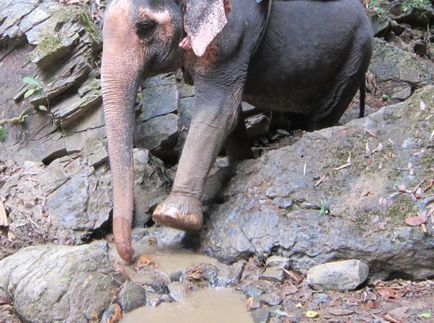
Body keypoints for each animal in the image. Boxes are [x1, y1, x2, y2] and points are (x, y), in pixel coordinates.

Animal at [101, 0, 372, 262]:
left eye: (146, 27)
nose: (131, 256)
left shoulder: (232, 32)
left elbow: (218, 110)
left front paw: (172, 217)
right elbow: (231, 112)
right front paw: (241, 162)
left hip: (354, 57)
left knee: (323, 115)